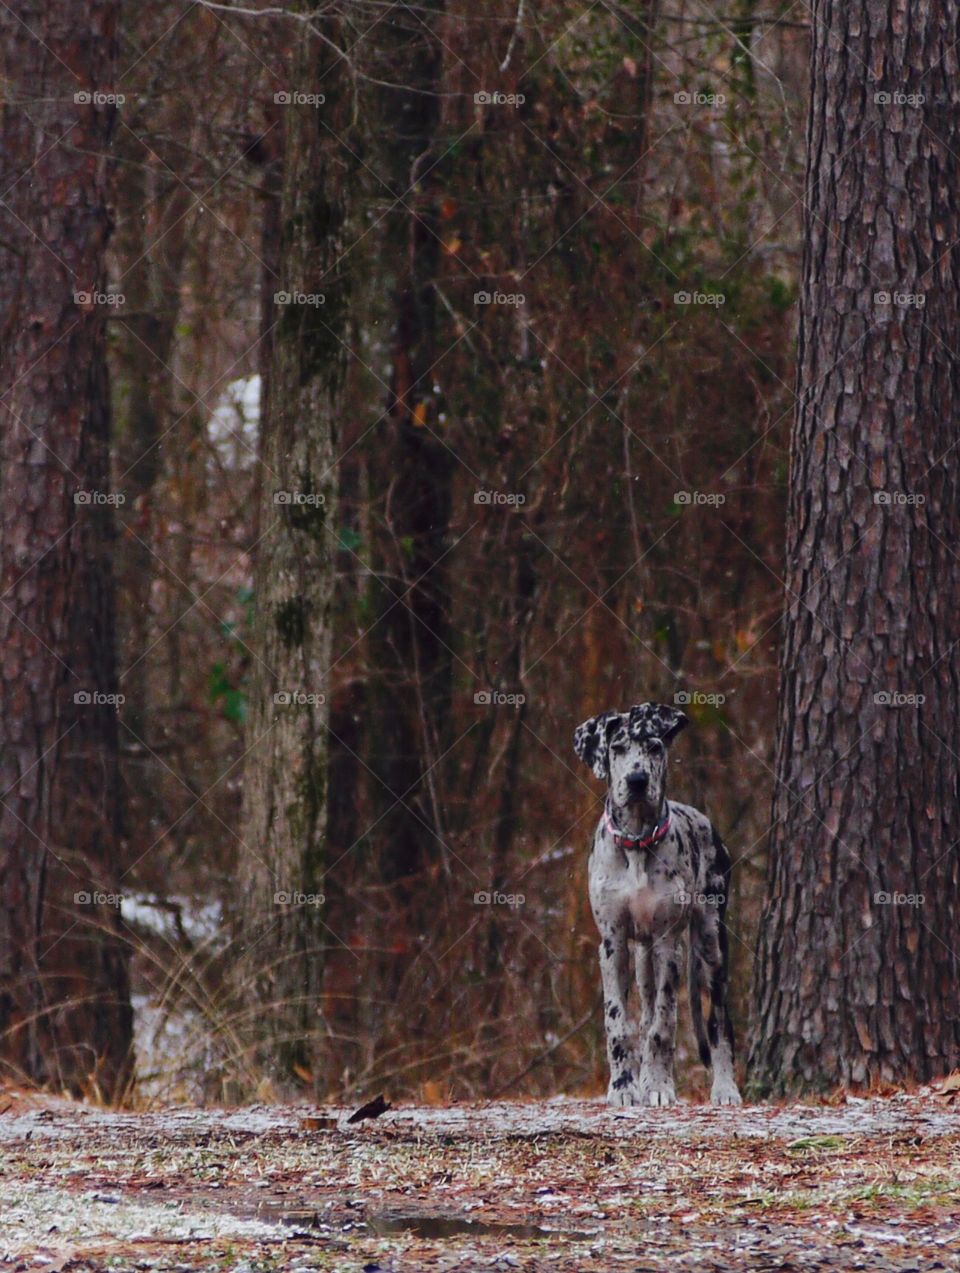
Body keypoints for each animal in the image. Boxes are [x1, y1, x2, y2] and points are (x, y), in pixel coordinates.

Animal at [567, 702, 738, 1110]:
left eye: (655, 747)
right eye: (616, 747)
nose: (637, 780)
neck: (636, 843)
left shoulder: (667, 944)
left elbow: (664, 1024)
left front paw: (660, 1086)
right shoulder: (612, 944)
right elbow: (619, 1023)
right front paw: (624, 1088)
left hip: (710, 943)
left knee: (718, 1021)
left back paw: (725, 1088)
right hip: (643, 956)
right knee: (643, 1015)